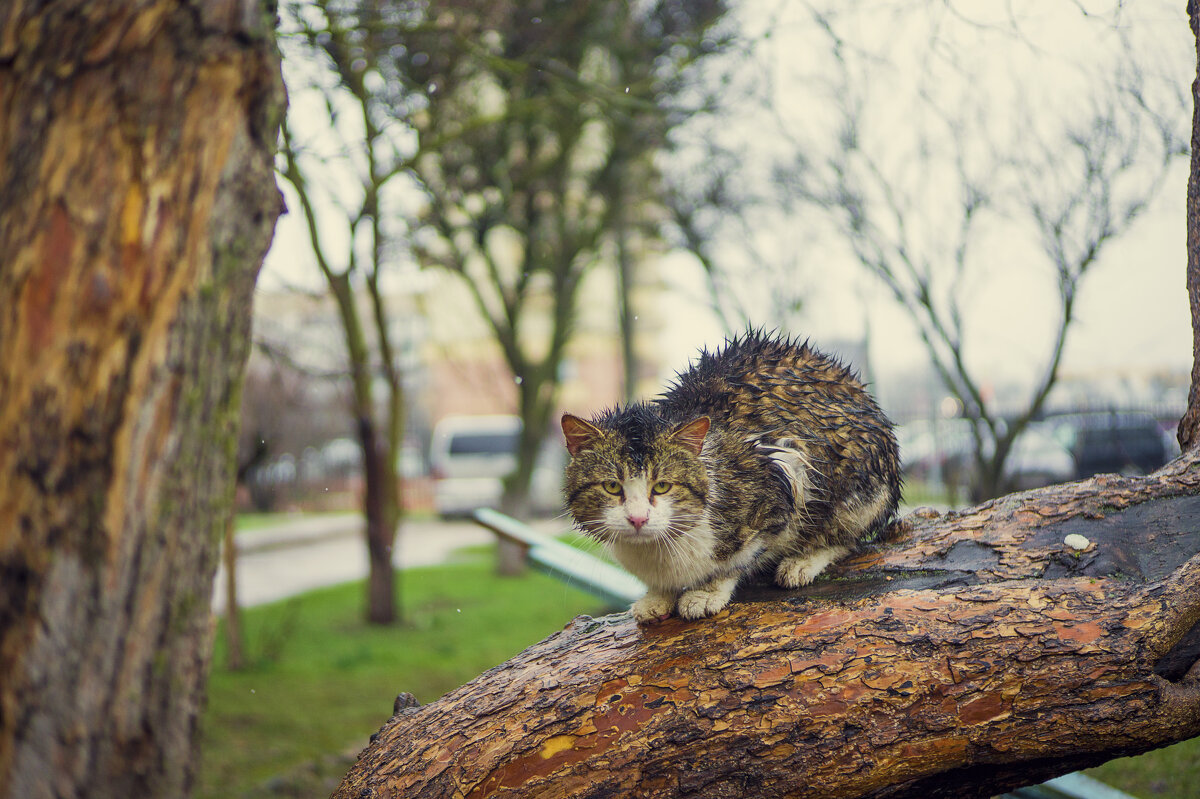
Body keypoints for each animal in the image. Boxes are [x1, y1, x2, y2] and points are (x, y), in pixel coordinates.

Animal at [561, 328, 902, 623]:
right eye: (611, 486)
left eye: (662, 486)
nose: (637, 519)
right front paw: (658, 595)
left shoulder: (783, 472)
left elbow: (742, 556)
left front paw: (707, 592)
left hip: (860, 483)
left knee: (849, 537)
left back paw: (803, 561)